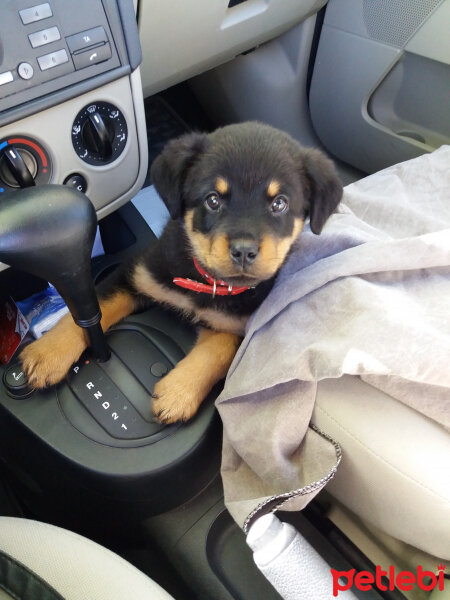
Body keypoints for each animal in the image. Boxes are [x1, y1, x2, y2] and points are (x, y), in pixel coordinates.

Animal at [20, 120, 342, 422]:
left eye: (280, 203)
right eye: (213, 199)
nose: (244, 251)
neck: (207, 282)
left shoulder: (238, 327)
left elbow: (217, 351)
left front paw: (177, 393)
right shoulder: (137, 272)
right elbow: (94, 307)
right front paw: (48, 353)